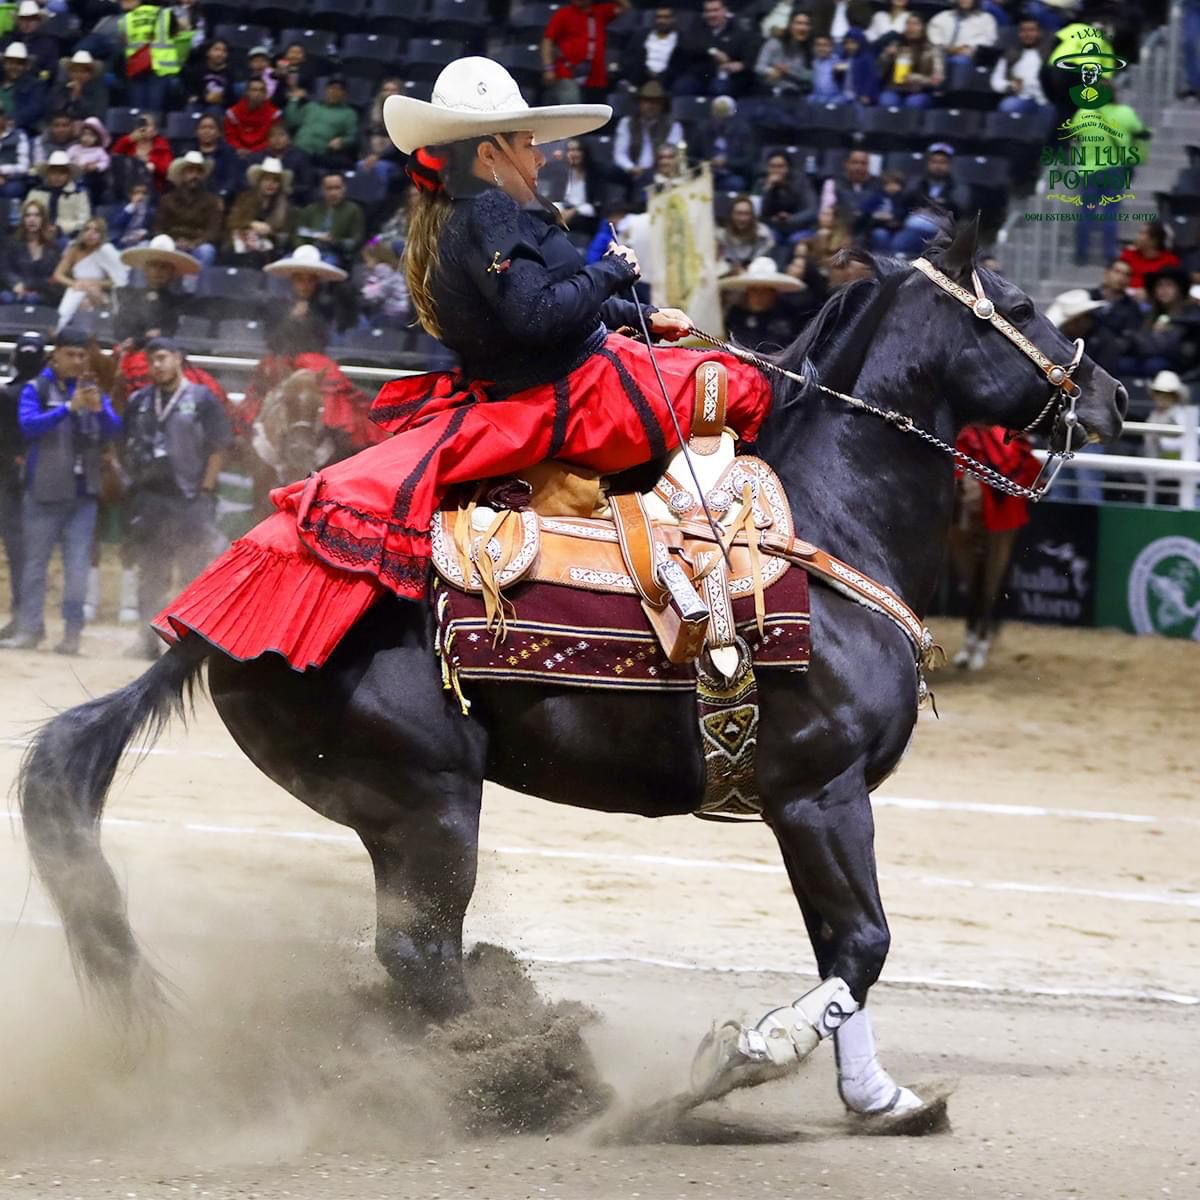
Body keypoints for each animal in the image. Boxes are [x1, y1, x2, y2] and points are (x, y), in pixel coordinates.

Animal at [16, 231, 1123, 1113]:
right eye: (1021, 309)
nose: (1110, 394)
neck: (823, 523)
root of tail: (214, 625)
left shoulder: (814, 805)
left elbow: (844, 951)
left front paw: (879, 1099)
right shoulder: (821, 794)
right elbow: (863, 946)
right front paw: (751, 1054)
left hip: (389, 812)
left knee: (413, 956)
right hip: (431, 800)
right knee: (422, 957)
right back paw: (519, 1079)